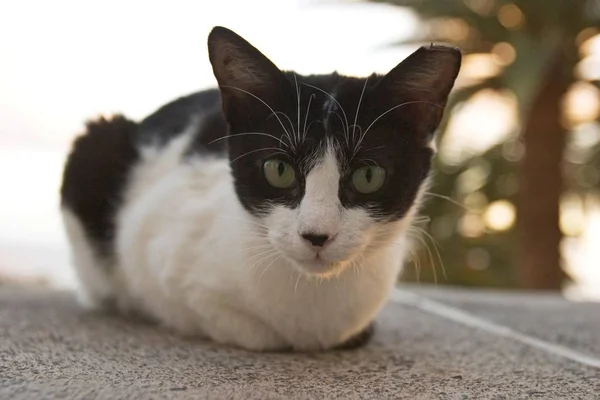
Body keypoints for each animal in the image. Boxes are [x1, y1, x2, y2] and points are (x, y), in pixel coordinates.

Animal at [61, 25, 462, 350]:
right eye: (279, 169)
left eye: (368, 176)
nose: (317, 235)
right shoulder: (156, 246)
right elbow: (243, 327)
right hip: (94, 145)